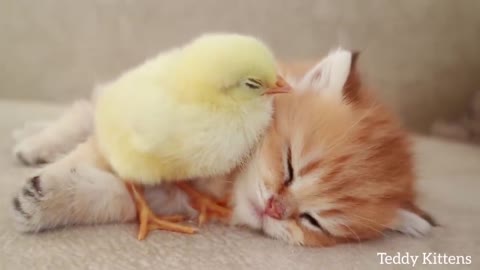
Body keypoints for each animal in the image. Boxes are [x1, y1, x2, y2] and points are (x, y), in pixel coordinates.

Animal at [11, 49, 434, 247]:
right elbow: (92, 155)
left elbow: (115, 196)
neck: (228, 182)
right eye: (290, 166)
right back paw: (34, 142)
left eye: (313, 221)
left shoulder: (174, 196)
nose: (274, 209)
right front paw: (47, 182)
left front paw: (50, 198)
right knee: (87, 110)